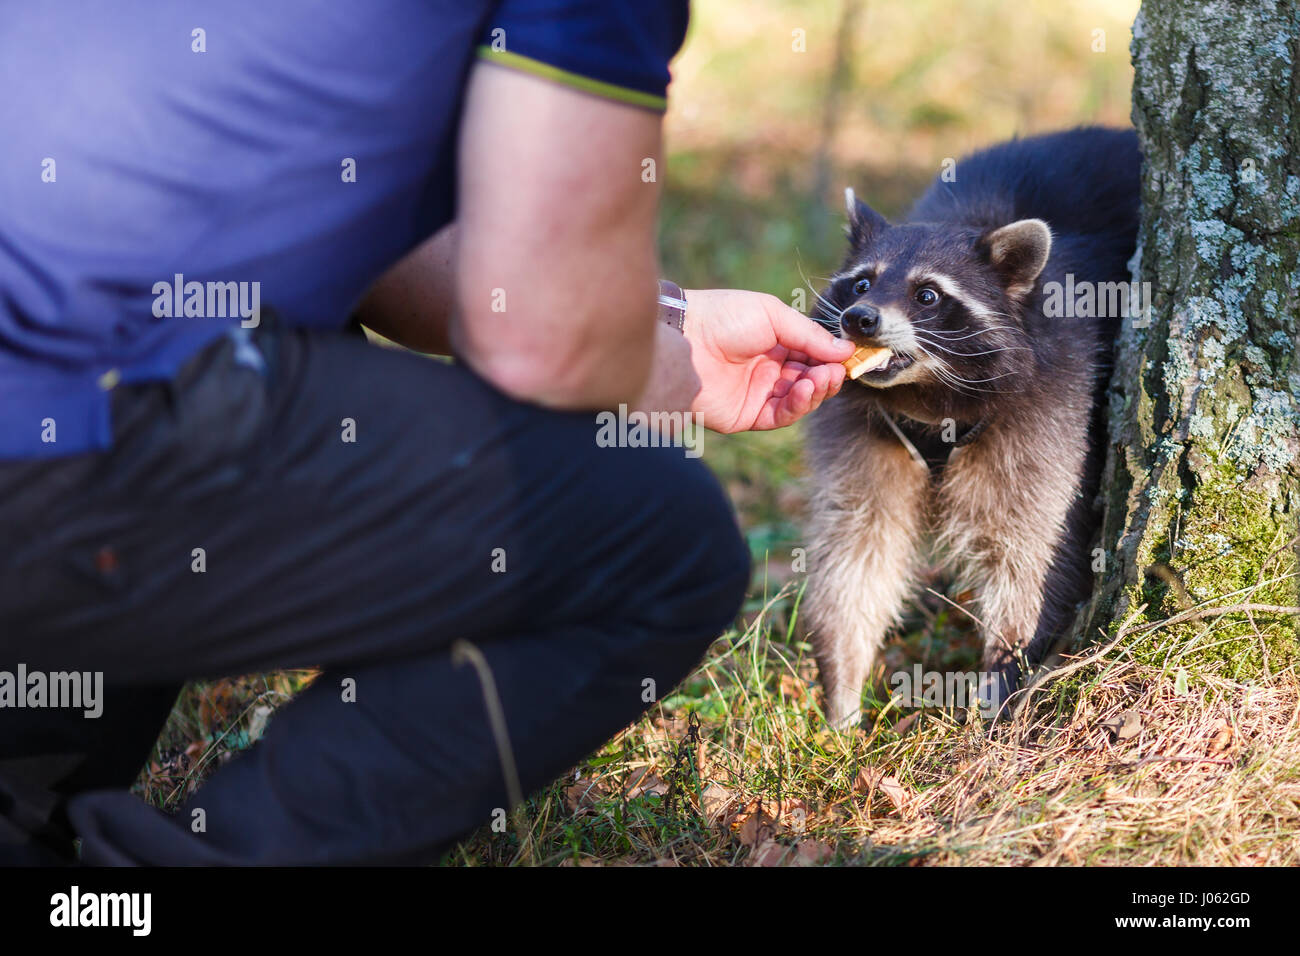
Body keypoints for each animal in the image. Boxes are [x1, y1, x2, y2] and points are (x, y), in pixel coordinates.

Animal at [800, 125, 1138, 723]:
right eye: (861, 285)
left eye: (927, 295)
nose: (858, 319)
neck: (925, 396)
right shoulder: (863, 427)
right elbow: (856, 547)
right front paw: (841, 688)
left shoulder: (1054, 406)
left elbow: (1031, 556)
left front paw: (1004, 680)